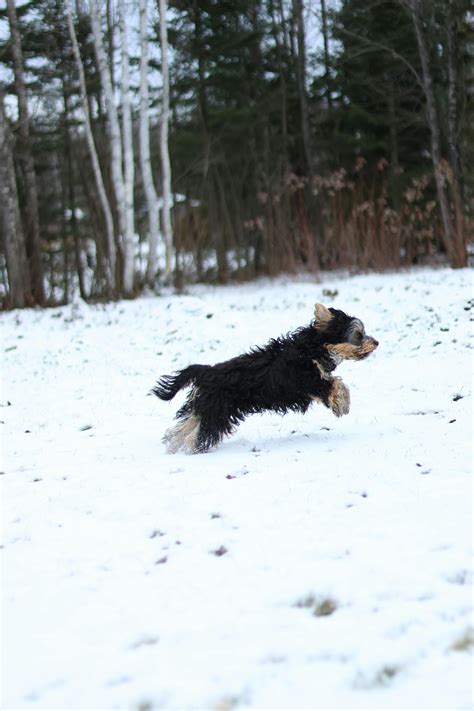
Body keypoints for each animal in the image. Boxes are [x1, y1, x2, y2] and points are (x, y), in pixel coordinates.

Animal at [154, 304, 380, 454]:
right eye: (358, 335)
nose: (376, 342)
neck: (312, 347)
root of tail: (206, 371)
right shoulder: (309, 380)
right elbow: (337, 384)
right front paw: (342, 405)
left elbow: (337, 382)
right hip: (216, 412)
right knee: (199, 432)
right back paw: (192, 448)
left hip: (206, 407)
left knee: (186, 425)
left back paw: (173, 445)